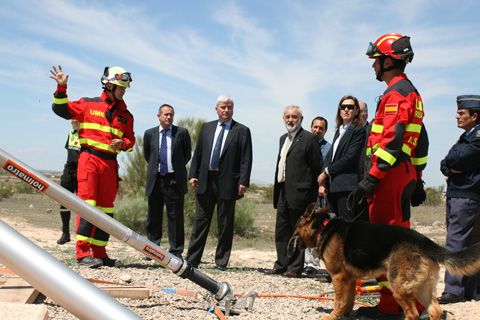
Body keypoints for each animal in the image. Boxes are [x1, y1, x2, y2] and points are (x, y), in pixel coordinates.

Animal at [290, 202, 480, 320]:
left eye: (297, 223)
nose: (290, 239)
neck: (322, 227)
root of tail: (426, 242)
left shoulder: (338, 277)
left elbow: (338, 301)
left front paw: (332, 316)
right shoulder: (351, 280)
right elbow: (348, 301)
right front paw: (345, 315)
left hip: (397, 284)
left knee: (413, 314)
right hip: (421, 287)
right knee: (435, 311)